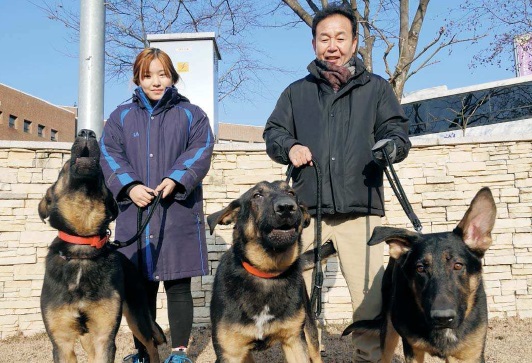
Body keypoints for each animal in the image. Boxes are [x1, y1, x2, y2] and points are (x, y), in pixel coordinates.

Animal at [38, 130, 164, 363]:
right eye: (65, 165)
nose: (87, 132)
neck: (83, 246)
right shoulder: (62, 342)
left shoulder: (104, 337)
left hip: (137, 317)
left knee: (151, 345)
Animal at [208, 181, 324, 362]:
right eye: (257, 195)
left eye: (291, 193)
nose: (287, 207)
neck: (267, 273)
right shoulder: (231, 352)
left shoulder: (295, 341)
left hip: (309, 330)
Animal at [342, 188, 496, 363]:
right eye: (420, 268)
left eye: (458, 265)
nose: (442, 318)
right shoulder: (412, 349)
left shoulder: (469, 355)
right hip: (389, 331)